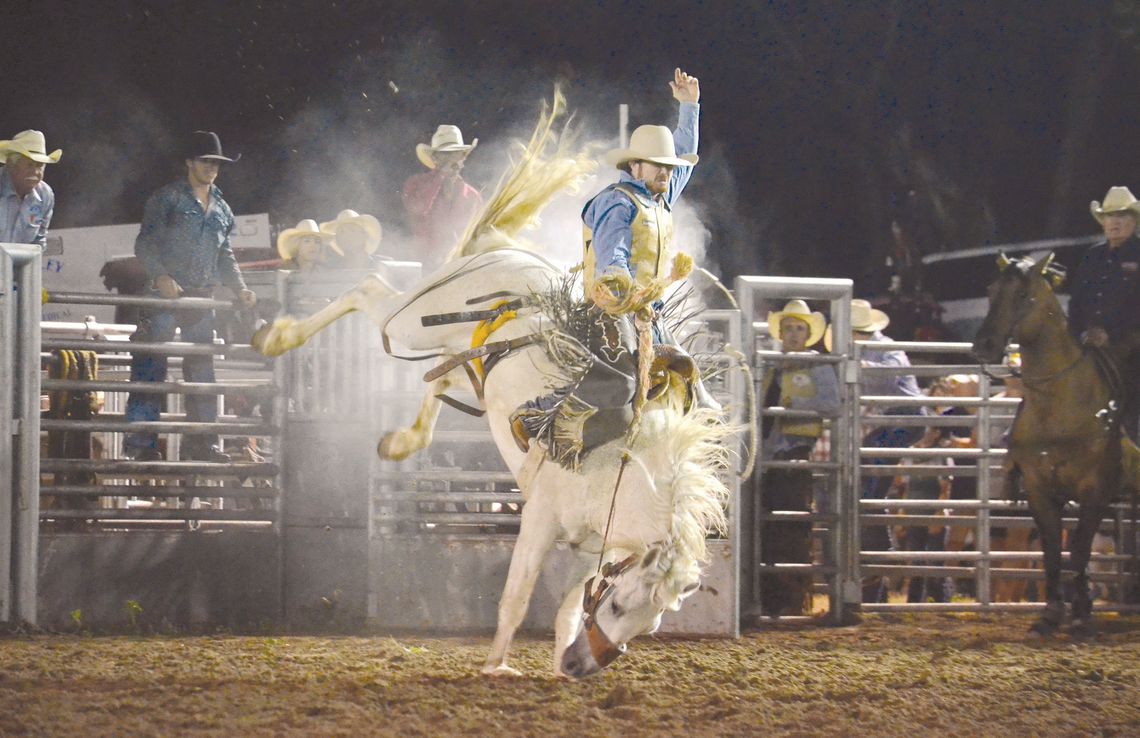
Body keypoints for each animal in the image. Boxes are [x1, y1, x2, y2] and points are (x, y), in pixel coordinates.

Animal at [253, 90, 734, 675]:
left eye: (652, 623)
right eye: (621, 605)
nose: (582, 668)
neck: (617, 473)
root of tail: (504, 250)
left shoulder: (591, 546)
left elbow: (567, 609)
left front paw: (556, 658)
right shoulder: (540, 521)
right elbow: (517, 597)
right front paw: (497, 666)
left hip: (464, 356)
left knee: (436, 382)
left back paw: (402, 441)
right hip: (415, 321)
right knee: (367, 289)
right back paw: (277, 337)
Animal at [971, 254, 1130, 634]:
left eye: (1022, 294)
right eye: (991, 289)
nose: (983, 345)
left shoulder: (1096, 488)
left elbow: (1081, 548)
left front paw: (1083, 612)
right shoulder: (1038, 487)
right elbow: (1053, 552)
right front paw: (1052, 613)